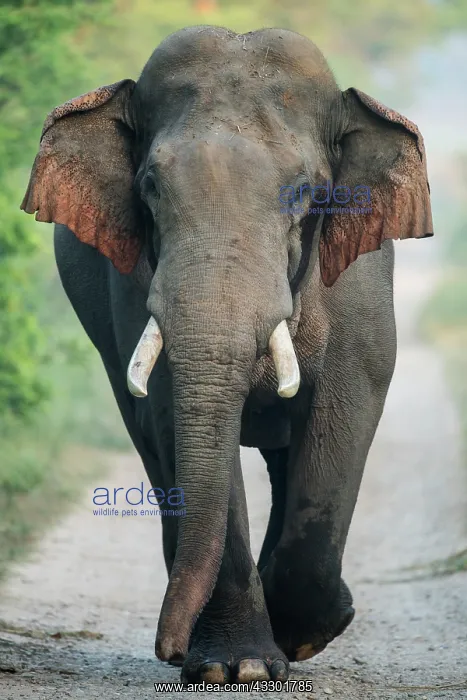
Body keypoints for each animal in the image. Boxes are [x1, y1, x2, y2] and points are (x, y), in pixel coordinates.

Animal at [21, 26, 433, 685]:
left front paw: (303, 637)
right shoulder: (135, 284)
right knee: (150, 439)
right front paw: (234, 667)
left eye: (304, 193)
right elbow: (173, 416)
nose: (167, 647)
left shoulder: (360, 282)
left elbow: (346, 408)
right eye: (149, 188)